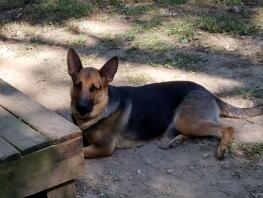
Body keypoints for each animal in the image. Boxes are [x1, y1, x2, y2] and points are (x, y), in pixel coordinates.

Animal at [68, 48, 263, 160]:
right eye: (78, 85)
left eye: (94, 88)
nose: (81, 108)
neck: (102, 108)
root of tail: (208, 92)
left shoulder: (105, 147)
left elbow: (81, 154)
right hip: (184, 125)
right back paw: (176, 141)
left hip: (187, 121)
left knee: (228, 128)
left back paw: (222, 148)